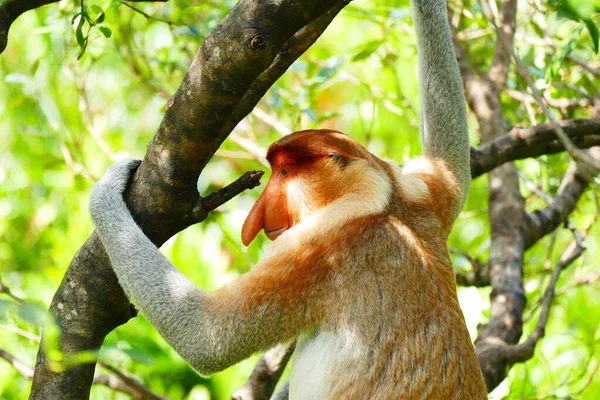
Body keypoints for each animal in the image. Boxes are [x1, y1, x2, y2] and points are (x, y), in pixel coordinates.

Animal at [91, 0, 490, 396]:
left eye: (283, 172)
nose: (256, 219)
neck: (380, 195)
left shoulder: (314, 248)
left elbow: (206, 334)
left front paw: (106, 188)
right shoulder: (424, 191)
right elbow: (452, 163)